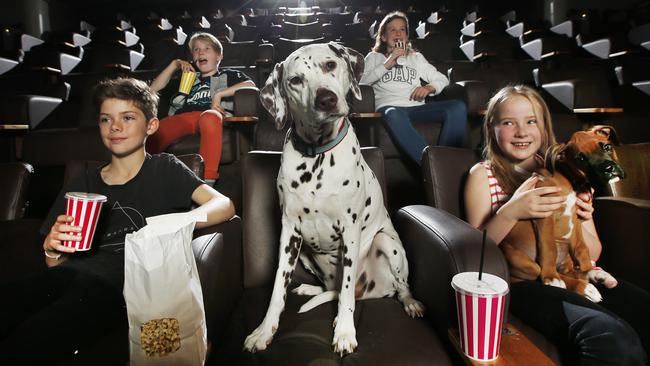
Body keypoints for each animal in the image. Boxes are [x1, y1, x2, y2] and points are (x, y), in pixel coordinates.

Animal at [243, 42, 426, 354]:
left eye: (330, 65)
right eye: (295, 80)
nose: (326, 100)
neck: (316, 156)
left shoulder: (350, 231)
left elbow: (346, 291)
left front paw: (344, 332)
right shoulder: (289, 233)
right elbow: (278, 288)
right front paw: (264, 330)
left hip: (386, 243)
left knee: (395, 287)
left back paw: (409, 301)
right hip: (305, 253)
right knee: (331, 289)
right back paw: (311, 288)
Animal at [502, 124, 624, 302]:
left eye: (607, 147)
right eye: (581, 159)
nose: (608, 169)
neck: (572, 181)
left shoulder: (577, 220)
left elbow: (581, 249)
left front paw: (588, 270)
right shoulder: (544, 215)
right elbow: (549, 248)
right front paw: (551, 277)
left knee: (568, 270)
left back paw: (594, 276)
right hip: (519, 260)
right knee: (537, 272)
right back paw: (581, 285)